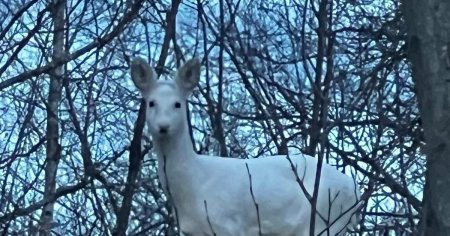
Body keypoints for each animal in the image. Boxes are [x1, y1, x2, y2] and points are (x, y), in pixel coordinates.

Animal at [130, 56, 362, 235]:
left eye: (177, 104)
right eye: (151, 103)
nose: (163, 126)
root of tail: (354, 189)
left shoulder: (228, 225)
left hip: (327, 218)